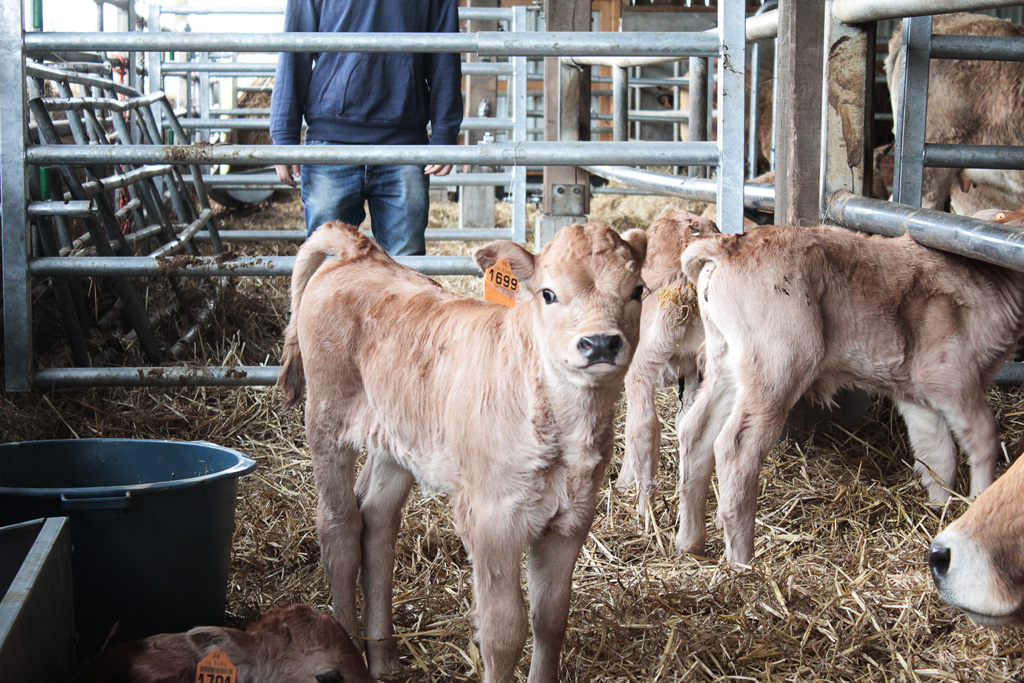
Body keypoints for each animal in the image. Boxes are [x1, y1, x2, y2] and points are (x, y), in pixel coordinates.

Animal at [278, 222, 647, 679]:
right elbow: (504, 631)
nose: (599, 343)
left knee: (377, 520)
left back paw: (384, 659)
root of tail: (359, 252)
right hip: (326, 419)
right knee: (338, 526)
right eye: (548, 293)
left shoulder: (572, 518)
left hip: (396, 438)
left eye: (637, 290)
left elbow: (551, 620)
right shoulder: (491, 520)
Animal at [675, 224, 1019, 565]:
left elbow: (937, 456)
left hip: (727, 364)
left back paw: (690, 542)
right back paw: (742, 561)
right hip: (778, 365)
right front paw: (978, 501)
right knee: (736, 449)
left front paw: (940, 510)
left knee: (695, 432)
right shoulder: (953, 377)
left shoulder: (916, 395)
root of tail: (731, 243)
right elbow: (984, 438)